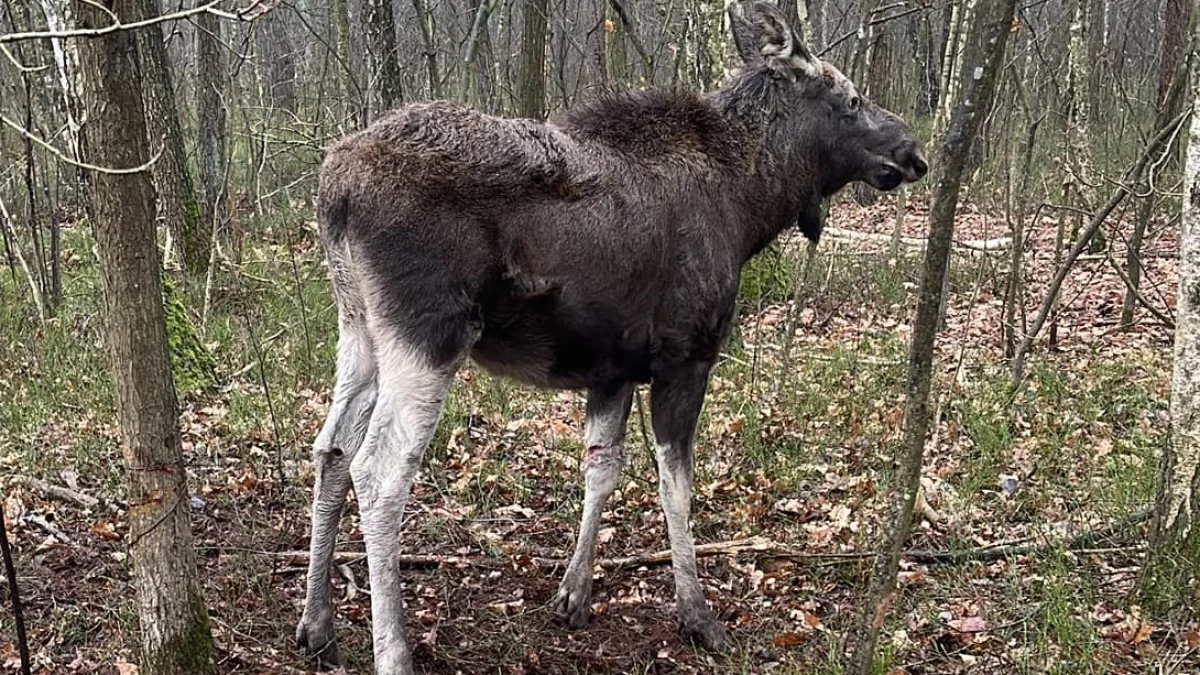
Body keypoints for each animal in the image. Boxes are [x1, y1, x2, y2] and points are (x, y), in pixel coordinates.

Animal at [297, 2, 926, 667]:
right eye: (851, 98)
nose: (914, 151)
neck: (751, 204)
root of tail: (334, 189)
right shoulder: (686, 355)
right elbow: (675, 484)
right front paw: (697, 616)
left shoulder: (614, 368)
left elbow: (601, 468)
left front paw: (573, 594)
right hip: (428, 332)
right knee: (379, 470)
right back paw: (391, 650)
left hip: (358, 325)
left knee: (331, 447)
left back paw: (317, 624)